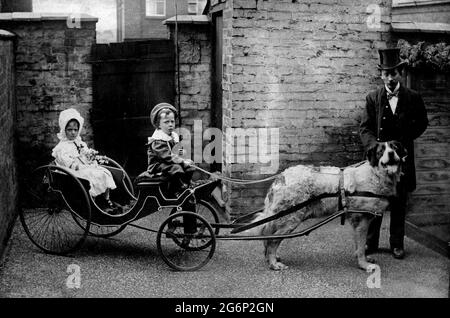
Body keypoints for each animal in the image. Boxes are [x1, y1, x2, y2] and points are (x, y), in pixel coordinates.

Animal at [244, 142, 406, 270]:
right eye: (381, 151)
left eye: (395, 148)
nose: (391, 153)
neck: (375, 174)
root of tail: (281, 177)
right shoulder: (362, 220)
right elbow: (361, 246)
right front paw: (364, 265)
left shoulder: (356, 221)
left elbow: (359, 244)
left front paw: (363, 259)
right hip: (291, 219)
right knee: (272, 240)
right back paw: (273, 263)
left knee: (268, 236)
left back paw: (272, 257)